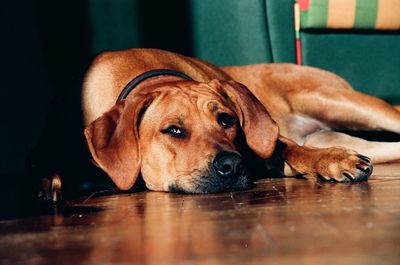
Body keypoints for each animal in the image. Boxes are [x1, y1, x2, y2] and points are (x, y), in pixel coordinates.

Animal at [38, 48, 400, 199]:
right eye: (174, 130)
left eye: (226, 120)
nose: (232, 165)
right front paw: (48, 182)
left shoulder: (266, 143)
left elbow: (292, 149)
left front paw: (330, 160)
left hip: (338, 101)